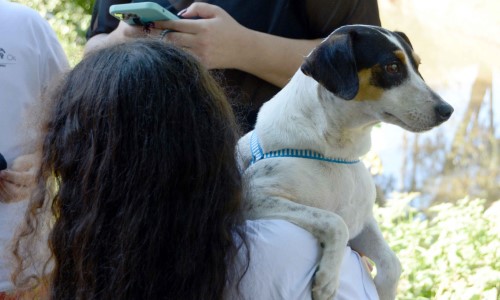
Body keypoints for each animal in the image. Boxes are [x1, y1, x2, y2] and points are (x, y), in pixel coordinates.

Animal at [237, 25, 454, 300]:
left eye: (417, 65)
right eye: (392, 67)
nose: (447, 110)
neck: (338, 155)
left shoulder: (362, 221)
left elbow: (392, 263)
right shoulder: (255, 198)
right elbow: (334, 221)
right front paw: (328, 280)